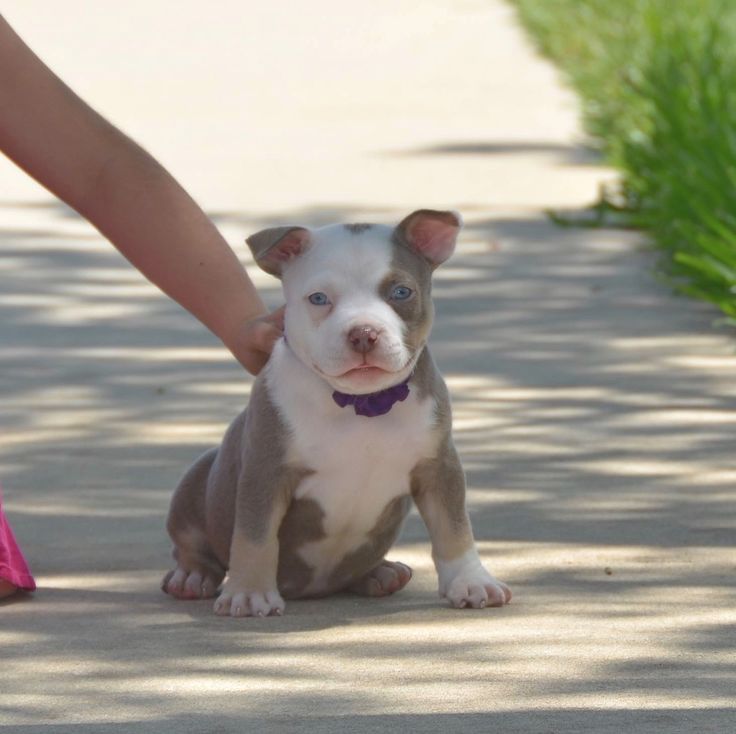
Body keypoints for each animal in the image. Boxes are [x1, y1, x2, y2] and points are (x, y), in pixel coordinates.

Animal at [162, 210, 512, 620]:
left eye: (401, 292)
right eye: (318, 298)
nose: (363, 333)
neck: (362, 404)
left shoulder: (439, 466)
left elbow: (455, 527)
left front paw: (471, 581)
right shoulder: (265, 472)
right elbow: (254, 536)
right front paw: (248, 593)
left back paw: (381, 572)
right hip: (197, 479)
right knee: (191, 544)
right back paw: (192, 576)